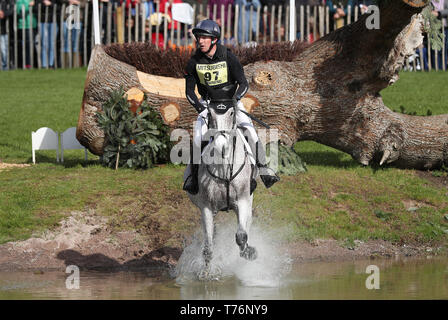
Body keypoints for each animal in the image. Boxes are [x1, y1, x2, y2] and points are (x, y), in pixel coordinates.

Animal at [184, 101, 258, 276]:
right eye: (210, 114)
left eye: (231, 113)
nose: (221, 146)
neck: (223, 166)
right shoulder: (206, 207)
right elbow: (208, 248)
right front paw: (206, 274)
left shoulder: (242, 201)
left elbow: (241, 235)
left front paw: (248, 252)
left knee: (247, 224)